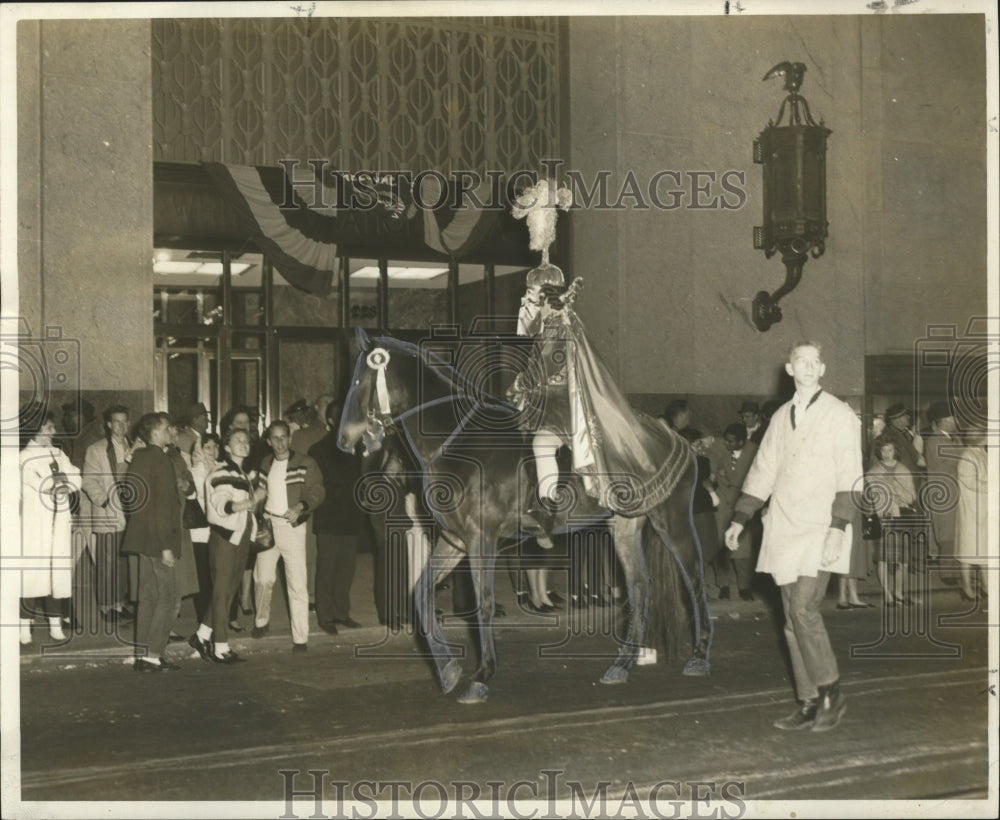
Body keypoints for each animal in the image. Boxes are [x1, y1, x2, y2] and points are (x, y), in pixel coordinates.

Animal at [340, 330, 716, 700]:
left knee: (694, 578)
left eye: (360, 380)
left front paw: (481, 677)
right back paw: (621, 665)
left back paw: (699, 657)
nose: (344, 440)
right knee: (639, 586)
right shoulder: (455, 541)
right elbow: (421, 594)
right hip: (624, 526)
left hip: (672, 519)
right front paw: (448, 671)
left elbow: (483, 604)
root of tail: (678, 440)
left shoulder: (481, 539)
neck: (459, 442)